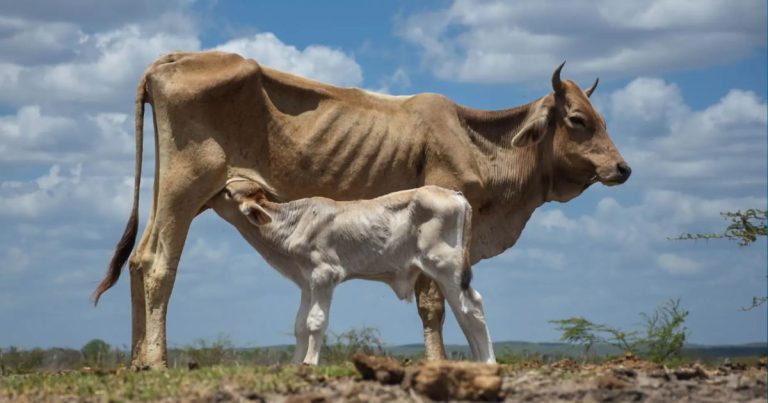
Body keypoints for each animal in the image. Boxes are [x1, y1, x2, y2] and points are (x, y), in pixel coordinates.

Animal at [208, 180, 498, 366]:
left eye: (227, 192)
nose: (206, 196)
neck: (293, 223)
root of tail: (454, 194)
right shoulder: (306, 282)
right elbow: (300, 325)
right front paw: (295, 363)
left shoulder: (324, 275)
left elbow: (315, 321)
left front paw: (309, 363)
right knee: (463, 311)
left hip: (445, 265)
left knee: (471, 307)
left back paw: (488, 361)